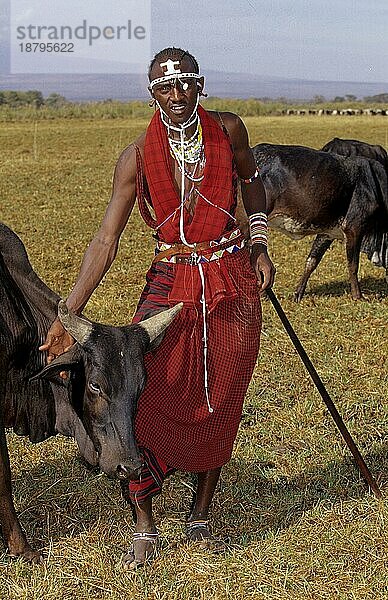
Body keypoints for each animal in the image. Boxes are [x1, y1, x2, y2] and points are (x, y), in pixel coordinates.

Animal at [252, 144, 388, 302]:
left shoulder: (328, 233)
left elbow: (311, 262)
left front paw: (298, 294)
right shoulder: (353, 228)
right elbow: (353, 265)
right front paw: (358, 296)